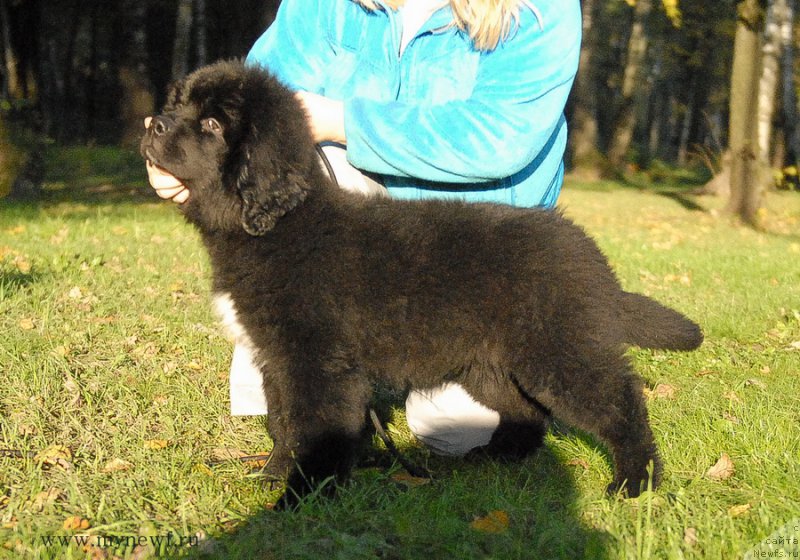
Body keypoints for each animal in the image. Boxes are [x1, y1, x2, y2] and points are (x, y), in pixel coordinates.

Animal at [141, 60, 704, 504]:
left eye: (212, 123)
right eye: (179, 104)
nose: (153, 123)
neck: (280, 226)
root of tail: (590, 256)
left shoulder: (317, 361)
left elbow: (314, 429)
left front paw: (303, 497)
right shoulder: (276, 357)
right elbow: (282, 422)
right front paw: (274, 476)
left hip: (560, 350)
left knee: (621, 404)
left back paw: (635, 483)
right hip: (488, 364)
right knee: (527, 413)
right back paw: (496, 458)